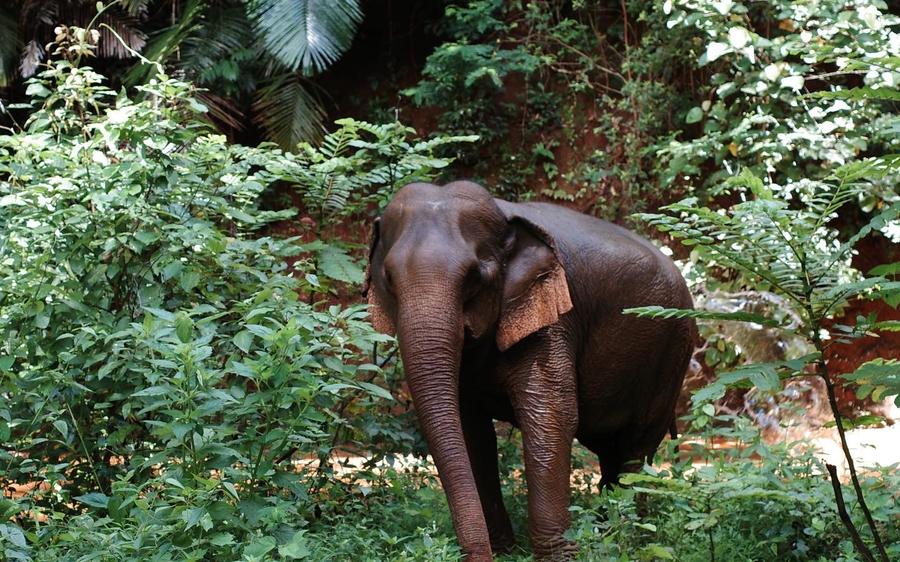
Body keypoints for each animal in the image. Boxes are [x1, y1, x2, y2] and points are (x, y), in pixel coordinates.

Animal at [365, 181, 695, 561]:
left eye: (474, 277)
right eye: (389, 278)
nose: (479, 556)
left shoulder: (554, 319)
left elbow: (550, 415)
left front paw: (560, 556)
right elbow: (469, 428)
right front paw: (505, 550)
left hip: (672, 353)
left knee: (635, 448)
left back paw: (631, 536)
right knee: (610, 450)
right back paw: (607, 530)